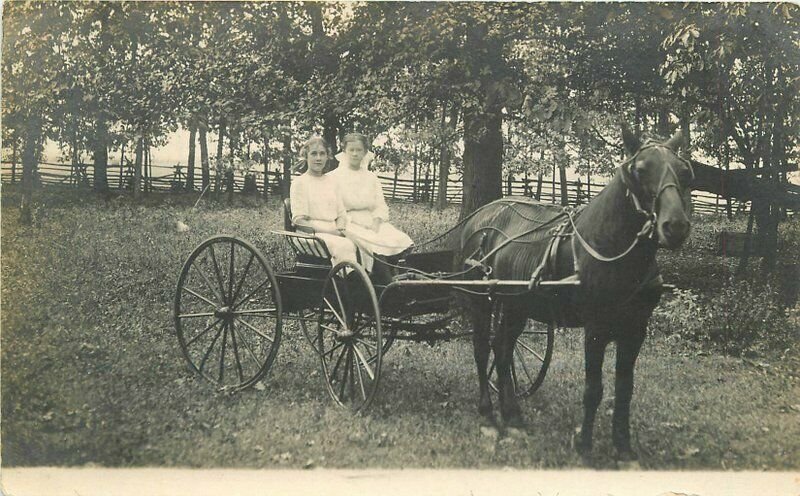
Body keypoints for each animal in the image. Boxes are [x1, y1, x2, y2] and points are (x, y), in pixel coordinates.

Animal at [456, 127, 692, 462]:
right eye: (640, 169)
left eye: (684, 172)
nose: (675, 226)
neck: (609, 247)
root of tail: (481, 217)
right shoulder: (595, 329)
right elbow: (594, 389)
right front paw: (585, 447)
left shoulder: (635, 329)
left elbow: (625, 389)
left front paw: (624, 448)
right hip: (481, 301)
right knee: (481, 350)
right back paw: (488, 414)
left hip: (516, 305)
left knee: (502, 349)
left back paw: (513, 416)